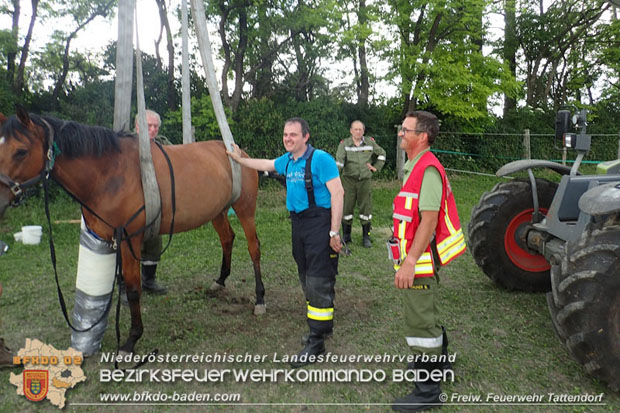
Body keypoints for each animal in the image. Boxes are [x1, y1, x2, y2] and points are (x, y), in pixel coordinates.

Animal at [0, 108, 264, 354]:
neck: (108, 173)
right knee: (227, 238)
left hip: (245, 210)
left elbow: (134, 288)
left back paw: (260, 298)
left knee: (254, 248)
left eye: (21, 151)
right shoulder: (109, 239)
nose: (0, 199)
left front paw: (132, 338)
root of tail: (236, 150)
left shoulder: (130, 239)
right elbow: (119, 283)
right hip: (217, 212)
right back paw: (220, 280)